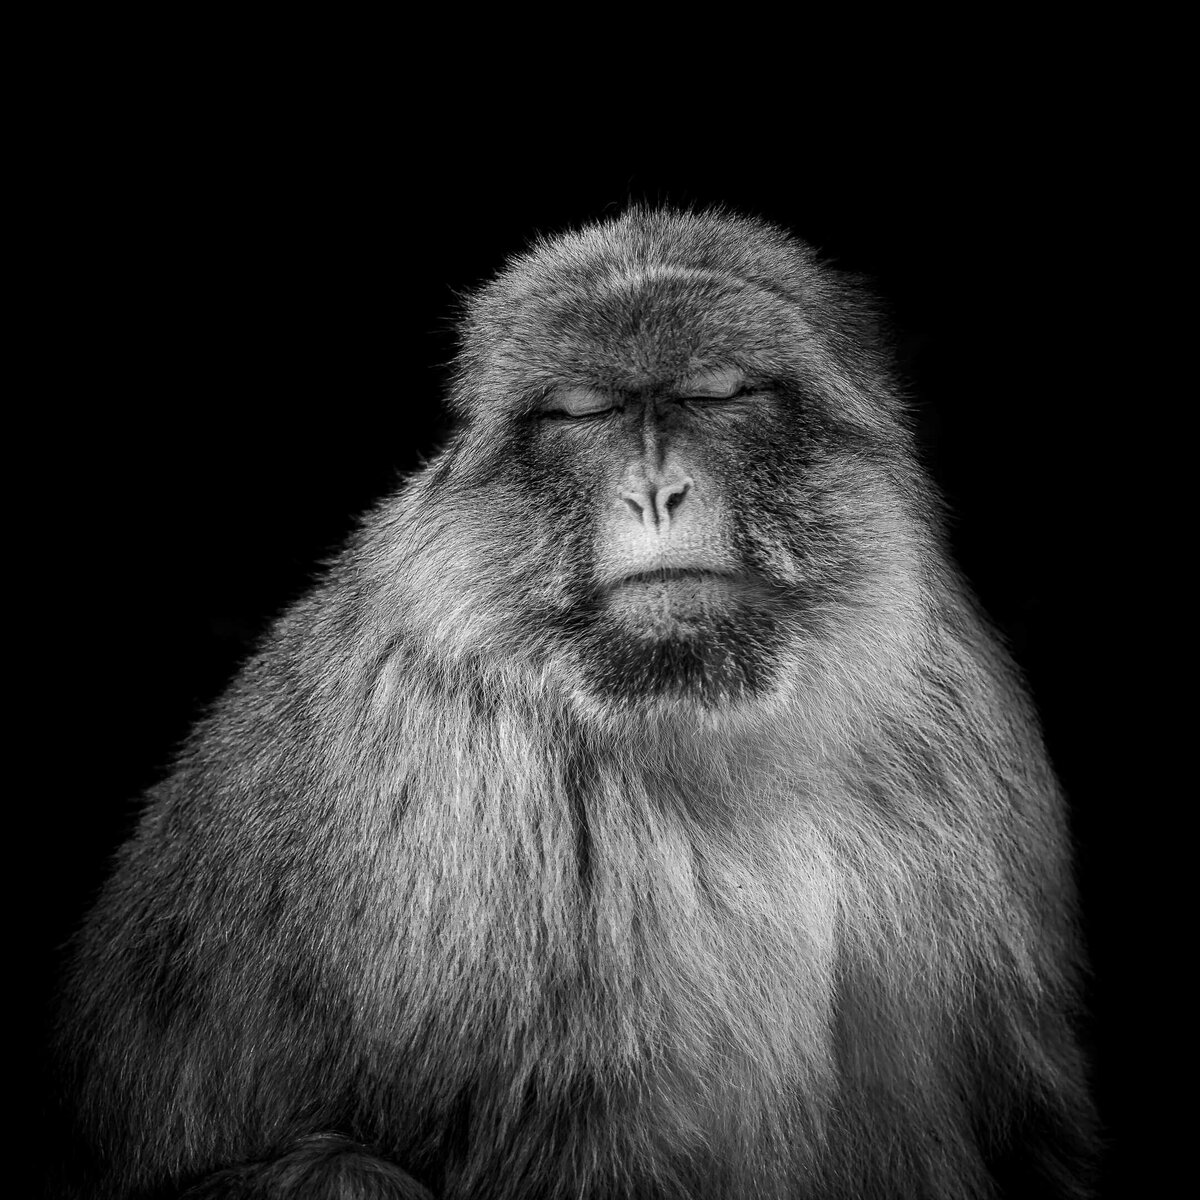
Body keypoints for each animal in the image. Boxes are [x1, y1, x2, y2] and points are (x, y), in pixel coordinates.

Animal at [51, 206, 1098, 1199]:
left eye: (717, 392)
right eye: (582, 412)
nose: (655, 490)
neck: (716, 738)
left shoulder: (961, 720)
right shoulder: (463, 790)